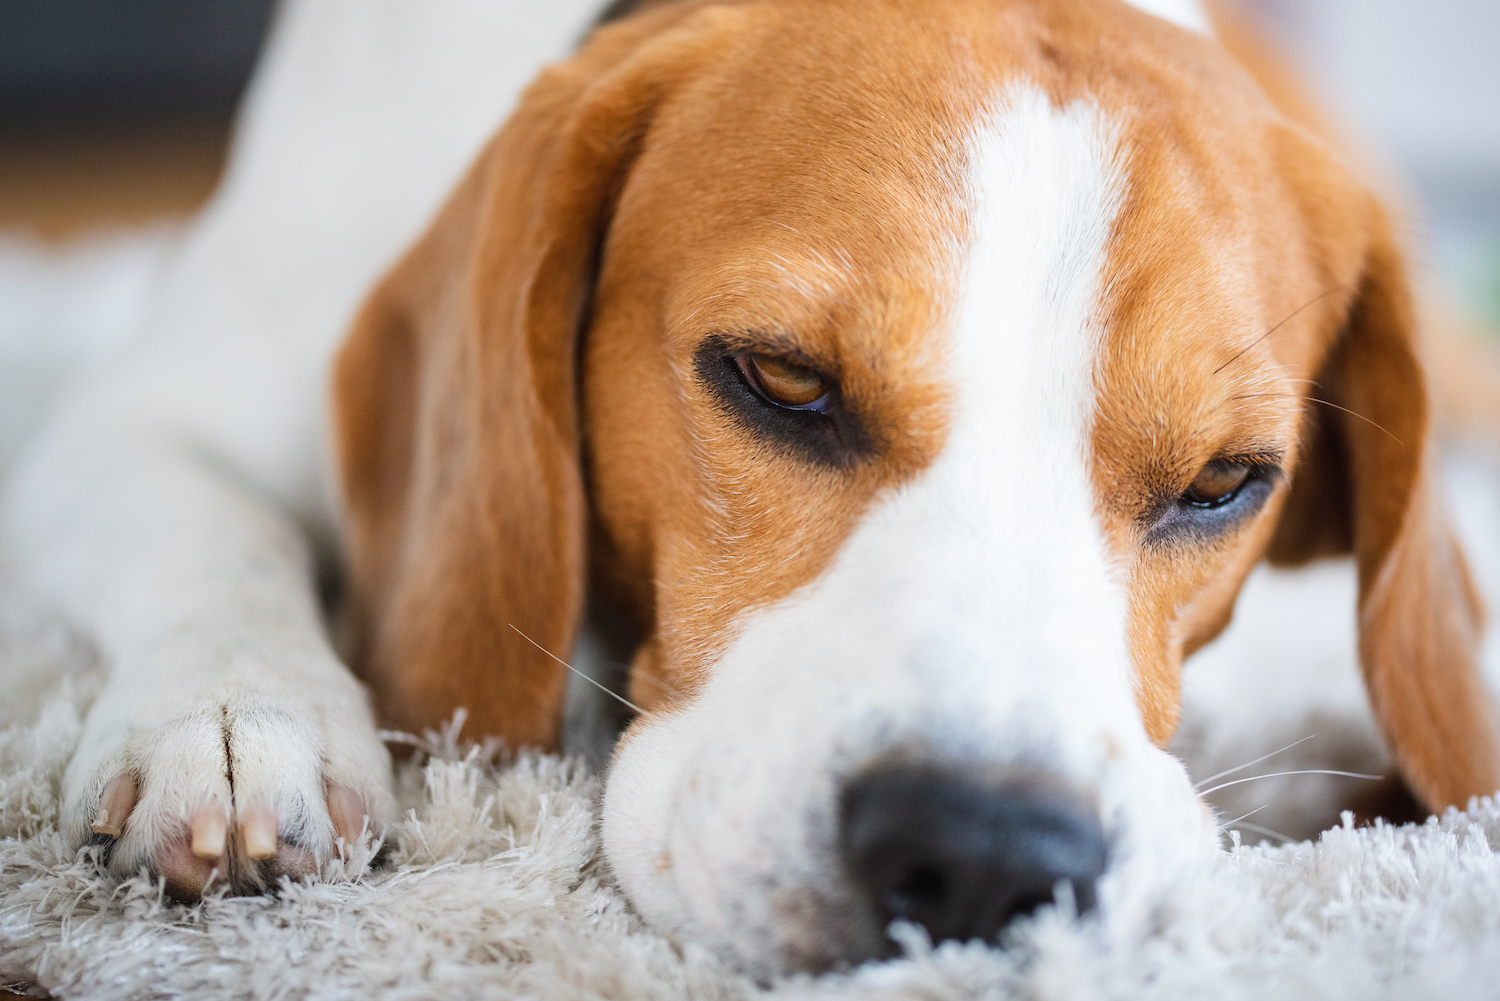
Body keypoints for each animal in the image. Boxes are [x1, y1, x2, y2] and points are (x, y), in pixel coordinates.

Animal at [5, 0, 1494, 978]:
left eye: (1226, 480)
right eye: (781, 378)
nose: (984, 852)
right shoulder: (125, 422)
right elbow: (208, 537)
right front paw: (236, 718)